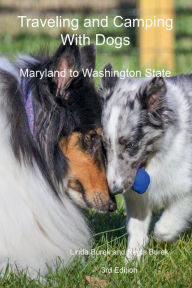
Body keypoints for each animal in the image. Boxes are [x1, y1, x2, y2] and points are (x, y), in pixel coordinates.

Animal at [100, 63, 192, 260]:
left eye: (131, 145)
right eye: (104, 144)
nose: (114, 190)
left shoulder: (187, 190)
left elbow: (165, 226)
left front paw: (161, 239)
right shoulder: (137, 197)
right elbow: (136, 228)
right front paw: (132, 260)